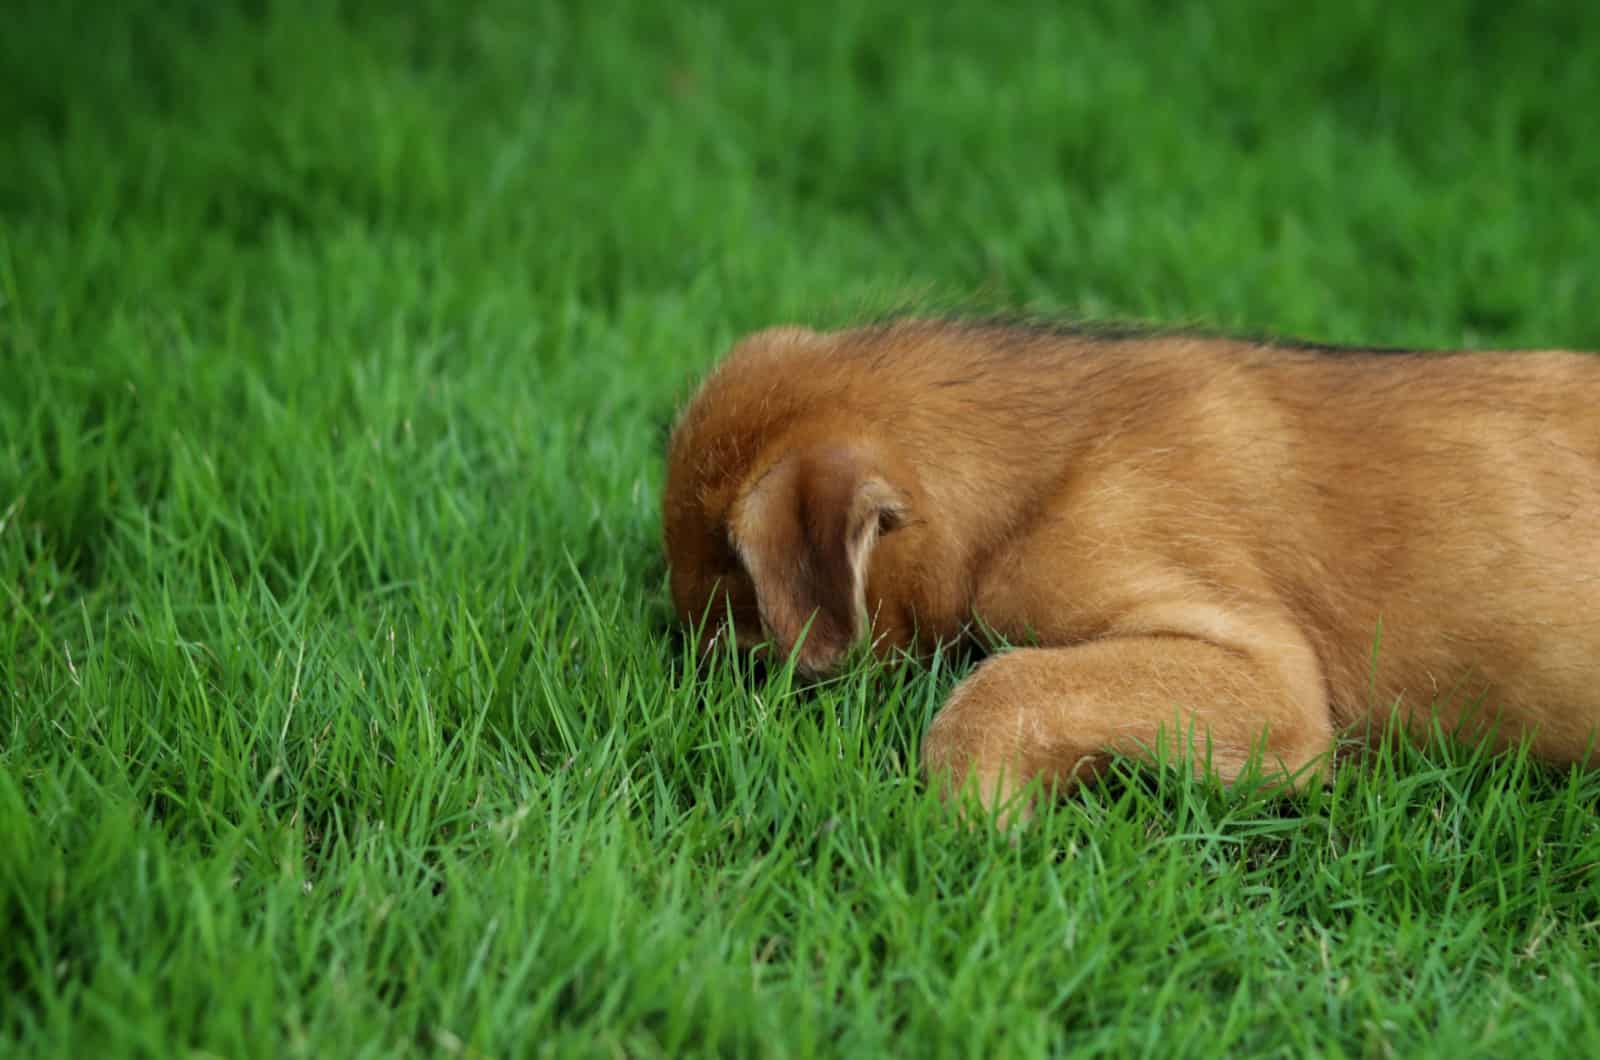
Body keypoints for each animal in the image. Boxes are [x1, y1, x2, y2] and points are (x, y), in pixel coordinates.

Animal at [656, 321, 1600, 819]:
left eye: (738, 623)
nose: (684, 672)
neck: (1042, 468)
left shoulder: (1269, 677)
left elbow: (997, 691)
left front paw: (982, 820)